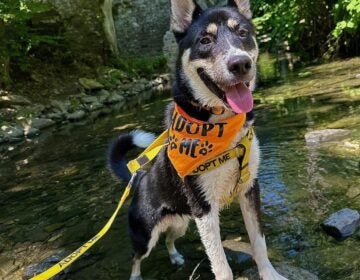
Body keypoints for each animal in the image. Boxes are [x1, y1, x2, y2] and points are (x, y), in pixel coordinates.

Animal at [108, 1, 288, 278]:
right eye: (205, 40)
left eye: (243, 33)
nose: (241, 64)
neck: (220, 126)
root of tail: (140, 178)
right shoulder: (204, 209)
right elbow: (221, 264)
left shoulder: (249, 190)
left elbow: (259, 244)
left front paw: (270, 274)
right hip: (145, 233)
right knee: (136, 257)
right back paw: (136, 275)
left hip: (181, 222)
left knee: (169, 239)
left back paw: (175, 257)